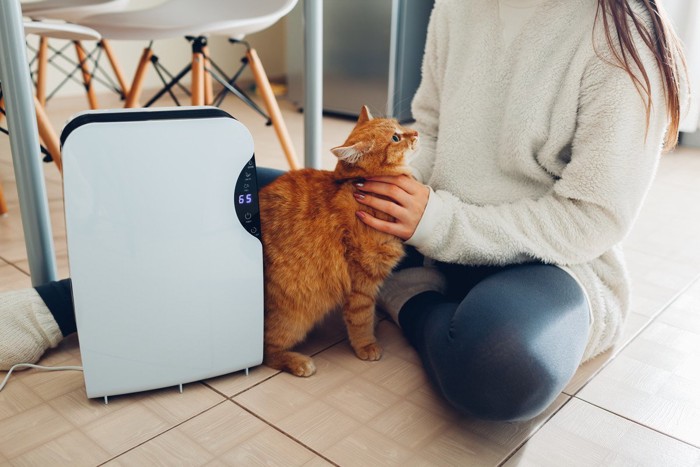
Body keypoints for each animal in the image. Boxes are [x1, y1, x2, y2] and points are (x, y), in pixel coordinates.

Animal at [260, 106, 418, 376]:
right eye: (396, 137)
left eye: (400, 125)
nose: (416, 133)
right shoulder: (362, 282)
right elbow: (361, 319)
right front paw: (367, 344)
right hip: (293, 318)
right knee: (267, 353)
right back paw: (299, 362)